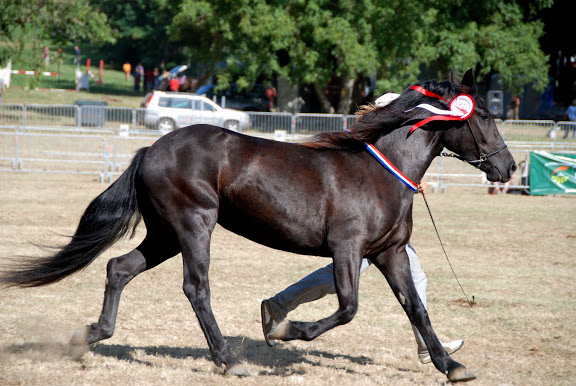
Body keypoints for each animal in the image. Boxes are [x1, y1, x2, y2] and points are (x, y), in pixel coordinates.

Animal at [0, 70, 512, 382]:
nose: (506, 167)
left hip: (165, 233)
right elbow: (348, 307)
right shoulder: (347, 248)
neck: (382, 171)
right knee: (196, 287)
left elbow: (417, 309)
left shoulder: (389, 253)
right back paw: (228, 359)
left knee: (119, 268)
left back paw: (90, 336)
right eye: (484, 115)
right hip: (193, 225)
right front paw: (282, 330)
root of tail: (151, 149)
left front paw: (451, 364)